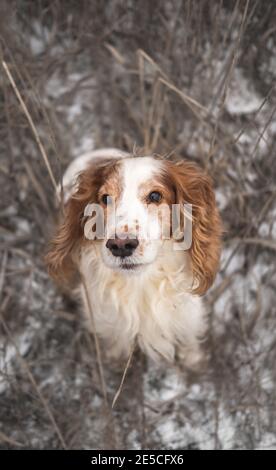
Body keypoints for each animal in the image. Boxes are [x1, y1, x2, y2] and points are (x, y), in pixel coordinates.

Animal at [45, 149, 222, 370]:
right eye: (105, 198)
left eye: (155, 195)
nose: (120, 245)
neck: (142, 284)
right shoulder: (111, 329)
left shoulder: (186, 318)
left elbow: (189, 345)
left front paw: (195, 364)